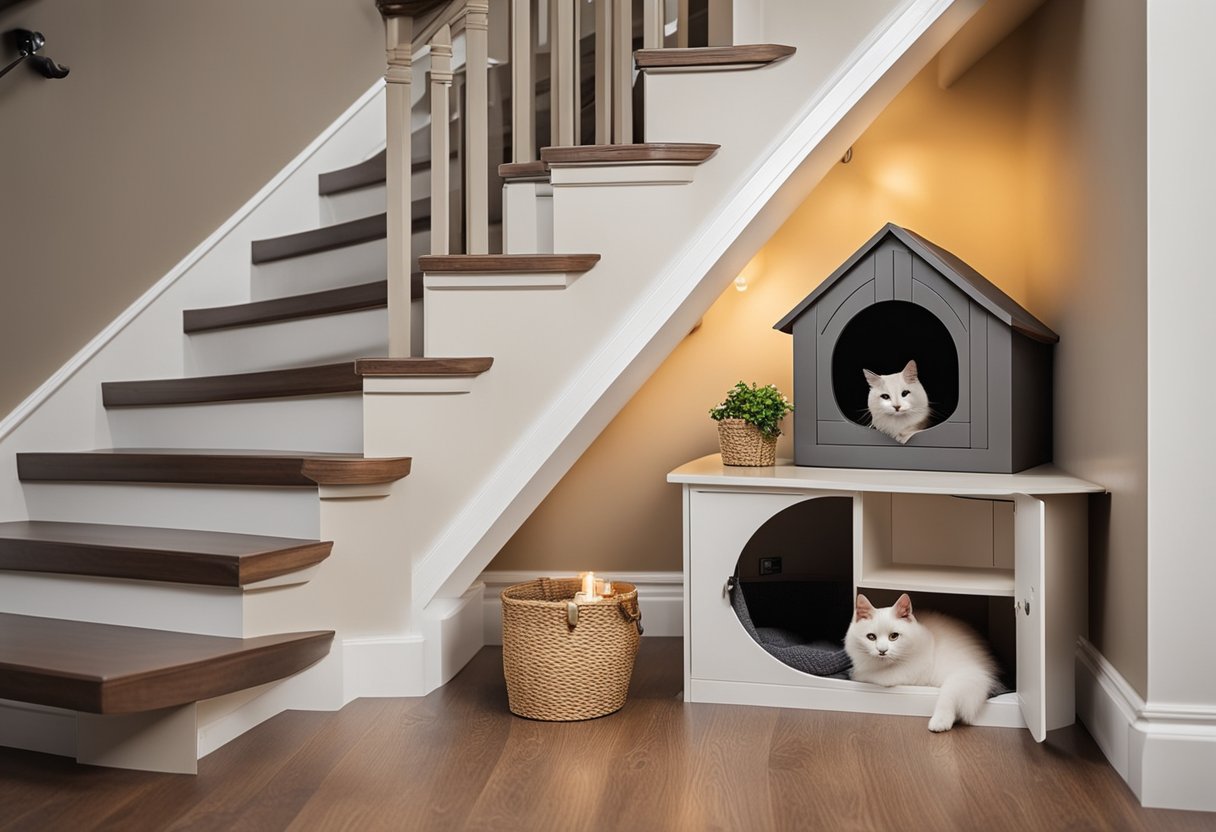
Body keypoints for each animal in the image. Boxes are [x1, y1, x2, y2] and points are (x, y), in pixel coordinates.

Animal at [846, 591, 997, 734]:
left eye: (894, 636)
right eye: (871, 637)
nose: (882, 651)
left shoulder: (908, 671)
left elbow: (872, 676)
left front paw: (855, 673)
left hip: (962, 675)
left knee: (948, 697)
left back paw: (939, 723)